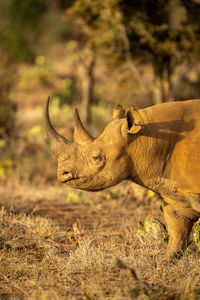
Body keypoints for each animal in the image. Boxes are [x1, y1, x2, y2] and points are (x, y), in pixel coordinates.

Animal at [44, 97, 200, 258]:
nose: (62, 173)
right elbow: (176, 240)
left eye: (97, 158)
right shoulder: (177, 198)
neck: (144, 141)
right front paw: (165, 262)